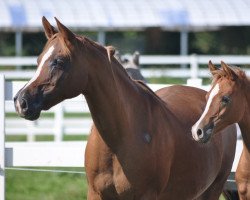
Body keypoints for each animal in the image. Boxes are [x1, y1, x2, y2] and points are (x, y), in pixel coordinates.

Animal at [13, 17, 236, 200]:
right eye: (38, 60)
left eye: (58, 61)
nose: (21, 101)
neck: (119, 140)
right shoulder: (95, 194)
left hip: (212, 190)